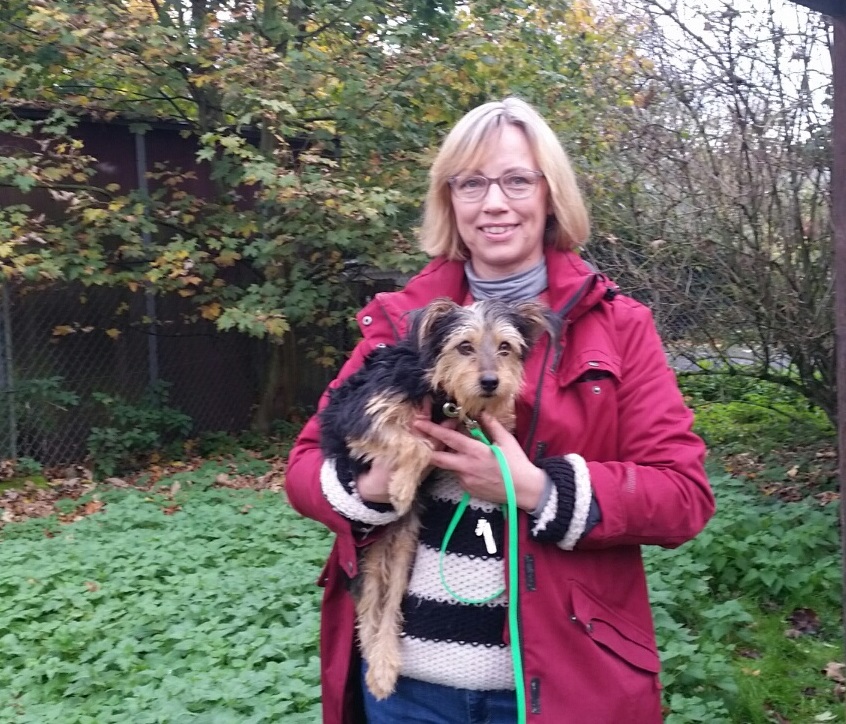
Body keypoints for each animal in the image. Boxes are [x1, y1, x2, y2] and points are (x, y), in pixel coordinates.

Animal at [319, 297, 549, 700]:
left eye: (505, 347)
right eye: (464, 346)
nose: (491, 383)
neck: (439, 388)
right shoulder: (362, 413)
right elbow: (418, 444)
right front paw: (401, 487)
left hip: (402, 553)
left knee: (390, 604)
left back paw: (384, 665)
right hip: (366, 556)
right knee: (368, 609)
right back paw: (378, 668)